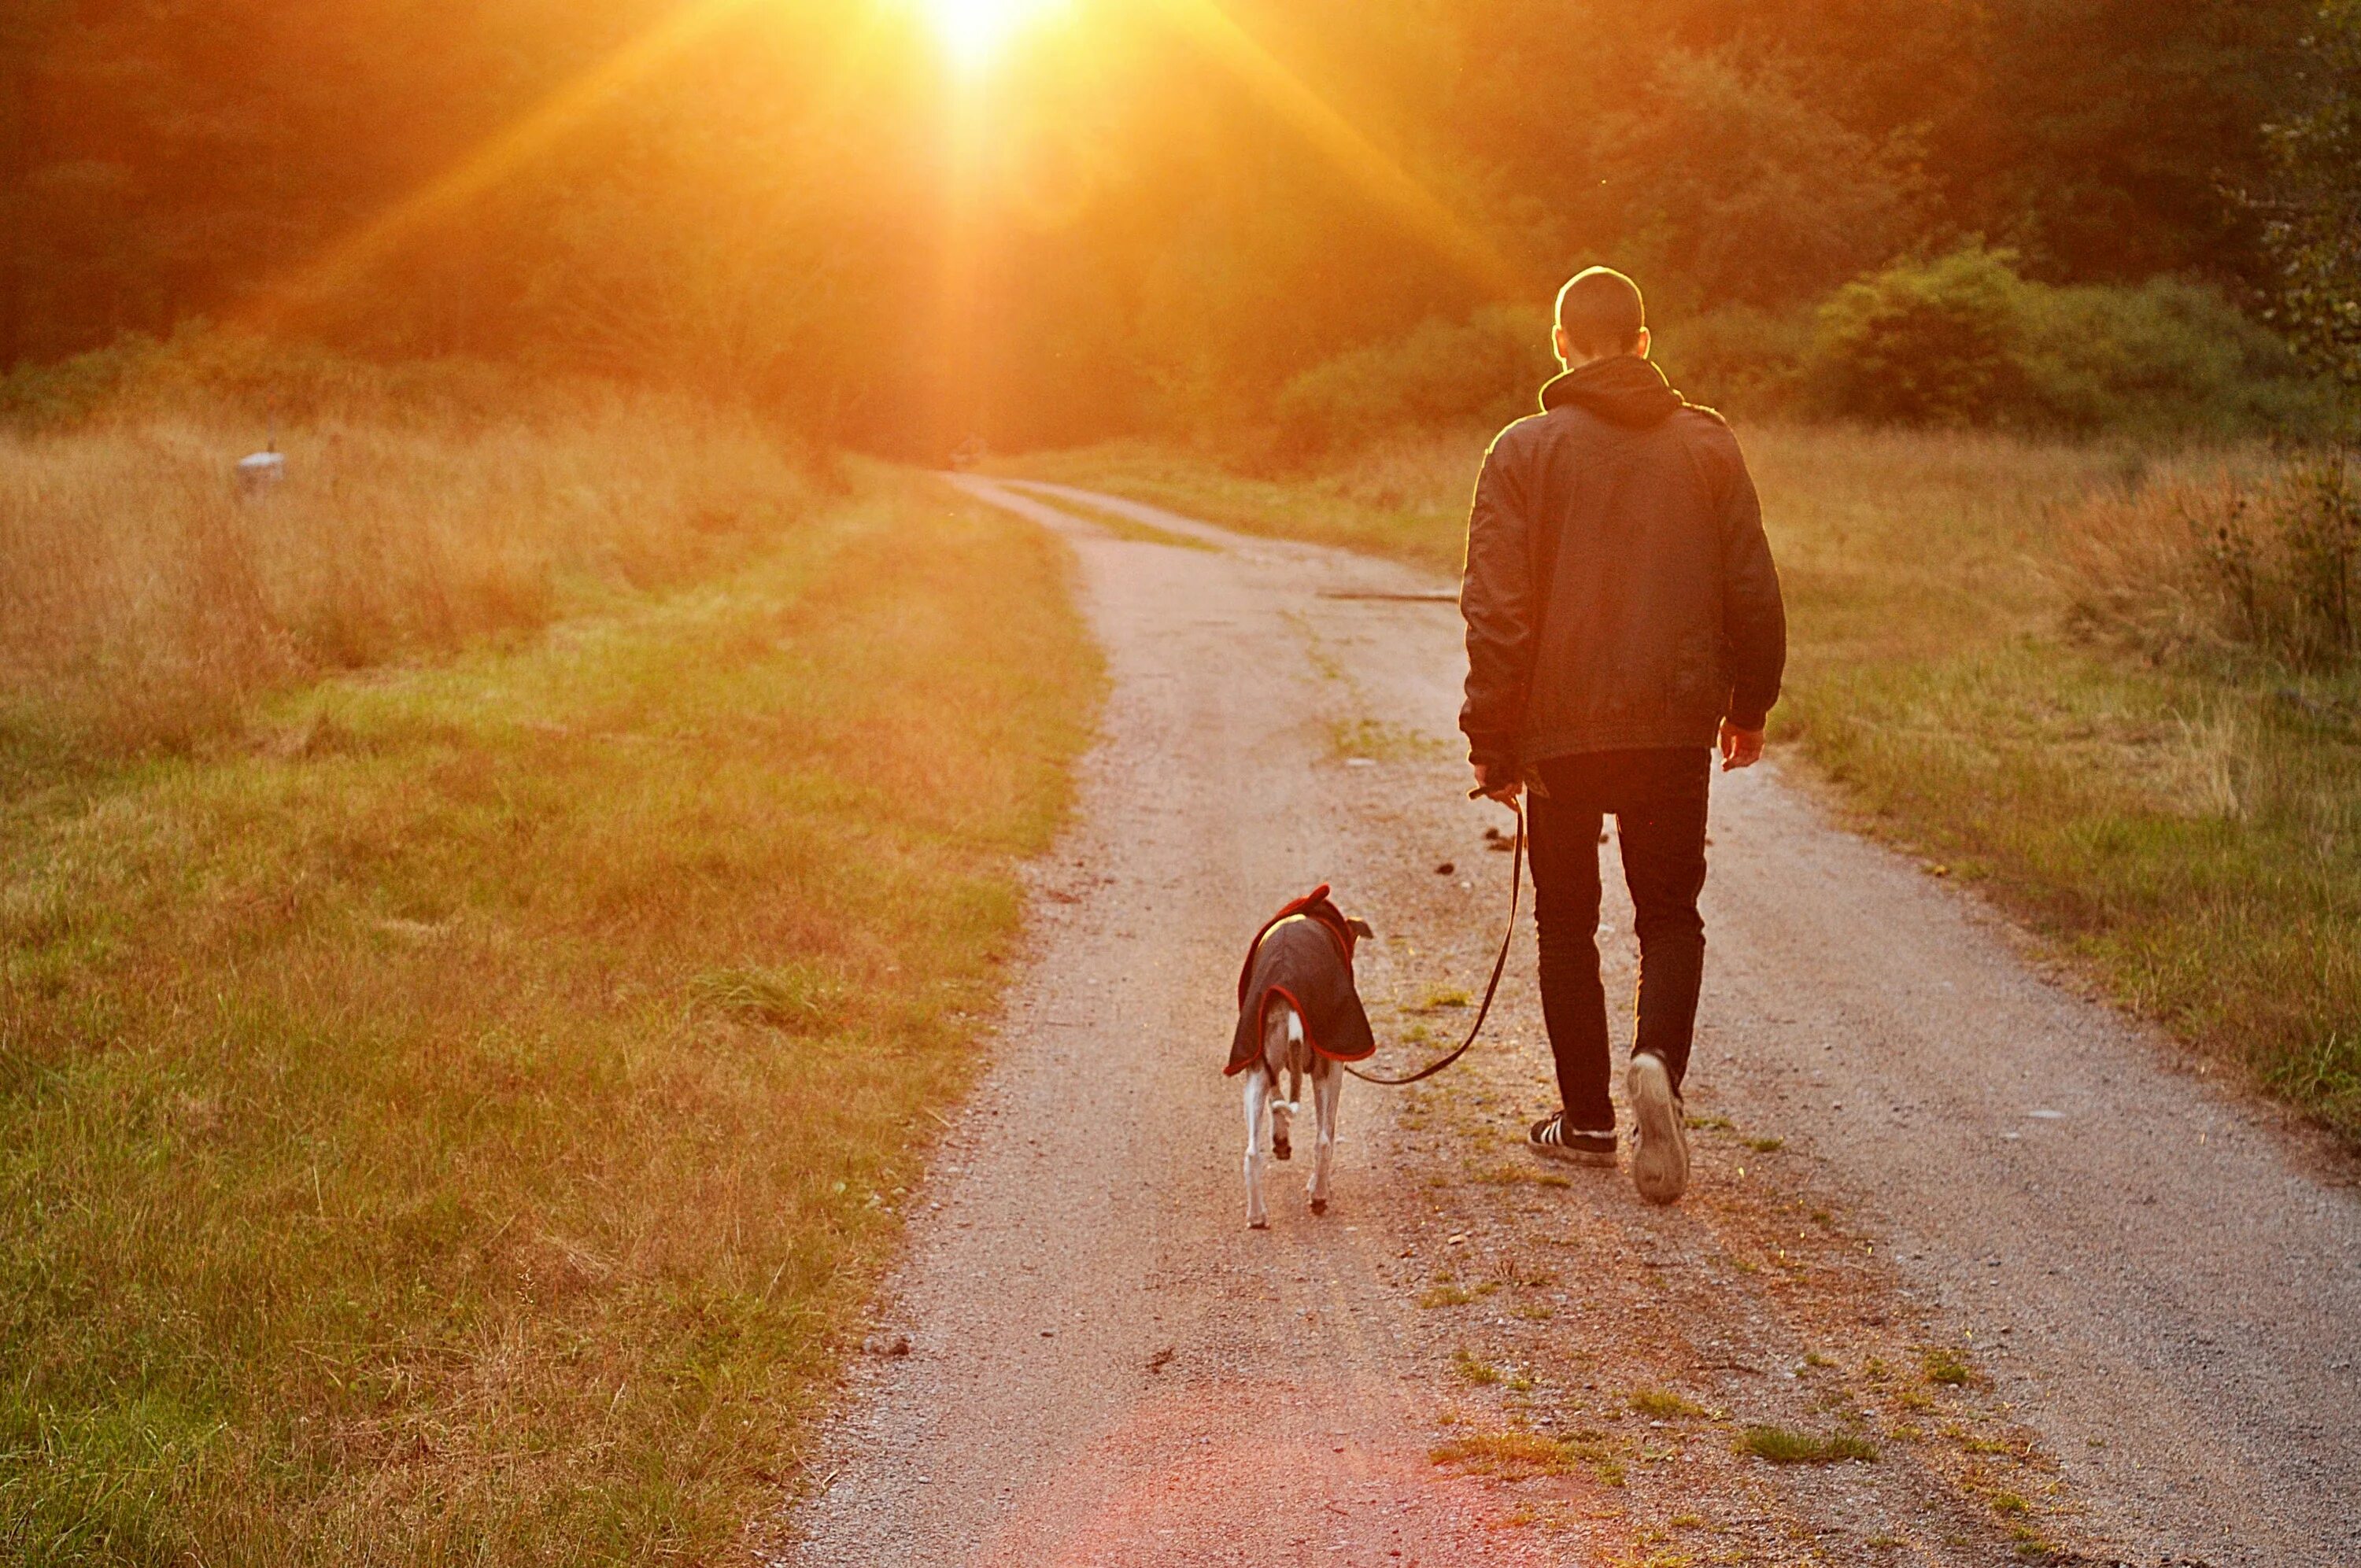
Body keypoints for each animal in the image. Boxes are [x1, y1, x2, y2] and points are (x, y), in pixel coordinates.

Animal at [1228, 887, 1379, 1227]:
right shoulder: (1333, 1065)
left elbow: (1277, 1102)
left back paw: (1257, 1215)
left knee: (1252, 1152)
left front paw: (1281, 1139)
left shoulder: (1267, 1067)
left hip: (1256, 1072)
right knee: (1324, 1140)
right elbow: (1327, 1132)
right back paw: (1319, 1194)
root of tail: (1288, 992)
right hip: (1328, 1070)